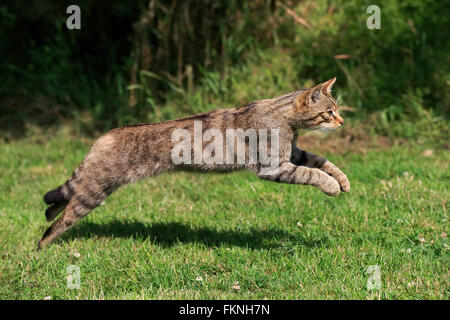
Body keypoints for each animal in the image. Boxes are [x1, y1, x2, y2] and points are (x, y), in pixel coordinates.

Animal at [38, 78, 350, 250]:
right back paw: (42, 249)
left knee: (59, 201)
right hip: (96, 189)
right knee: (63, 217)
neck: (283, 117)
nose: (342, 122)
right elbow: (312, 174)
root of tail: (105, 135)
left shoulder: (293, 154)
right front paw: (332, 187)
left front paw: (344, 181)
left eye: (337, 110)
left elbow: (321, 161)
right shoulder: (274, 166)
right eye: (329, 112)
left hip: (93, 185)